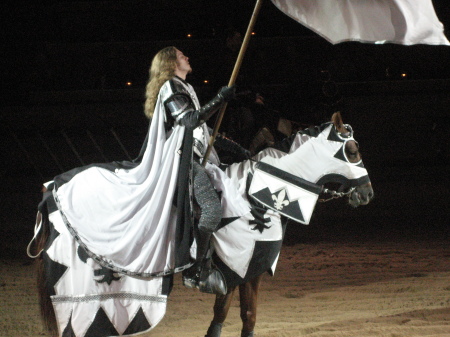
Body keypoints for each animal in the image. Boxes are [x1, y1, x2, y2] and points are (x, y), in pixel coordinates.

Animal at [29, 111, 372, 334]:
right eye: (353, 150)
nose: (367, 194)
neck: (260, 194)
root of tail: (52, 188)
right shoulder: (239, 268)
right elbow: (230, 315)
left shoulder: (244, 272)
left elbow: (241, 316)